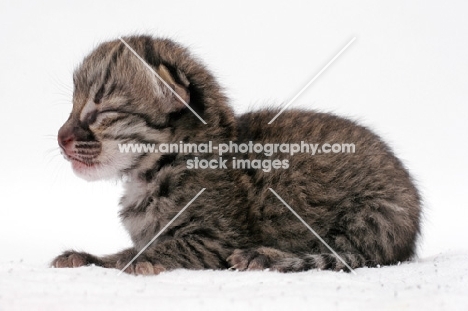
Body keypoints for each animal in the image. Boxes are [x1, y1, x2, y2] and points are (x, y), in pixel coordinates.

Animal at [53, 35, 422, 276]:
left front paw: (133, 260)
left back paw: (264, 258)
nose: (60, 137)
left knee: (344, 255)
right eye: (71, 108)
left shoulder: (217, 240)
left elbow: (158, 248)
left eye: (100, 112)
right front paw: (86, 257)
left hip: (373, 216)